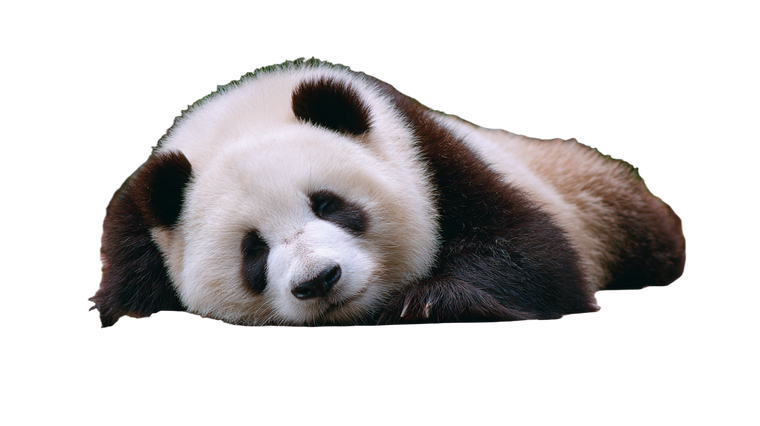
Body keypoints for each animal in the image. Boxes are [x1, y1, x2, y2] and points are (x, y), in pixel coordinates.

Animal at [89, 54, 688, 330]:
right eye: (253, 251)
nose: (319, 280)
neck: (241, 112)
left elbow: (535, 253)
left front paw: (427, 299)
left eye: (330, 205)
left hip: (585, 192)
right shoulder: (134, 230)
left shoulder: (430, 154)